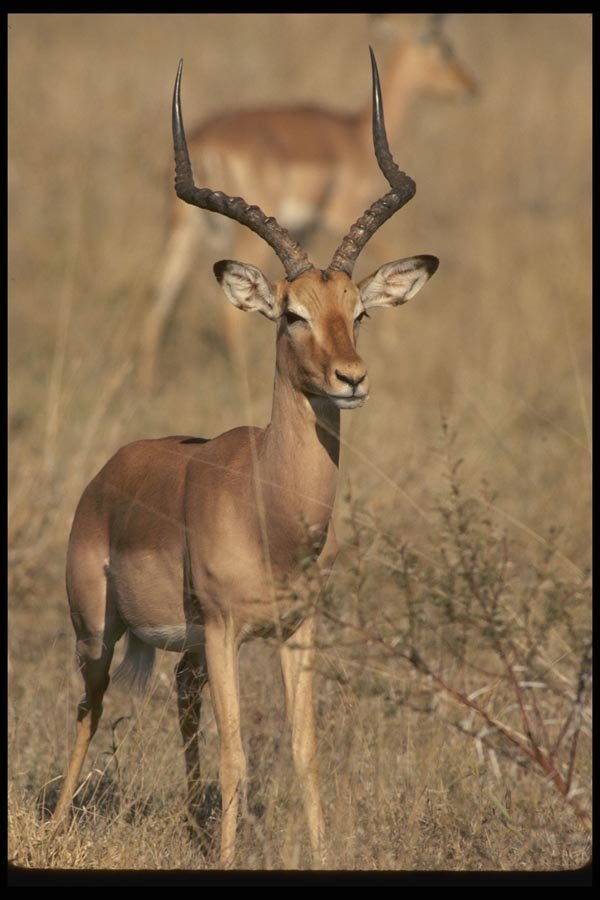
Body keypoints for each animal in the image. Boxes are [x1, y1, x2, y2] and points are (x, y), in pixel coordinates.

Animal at [52, 49, 438, 868]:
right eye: (291, 315)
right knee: (88, 709)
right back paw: (60, 822)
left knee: (180, 699)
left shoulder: (296, 631)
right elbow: (239, 755)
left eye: (358, 312)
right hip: (97, 630)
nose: (351, 379)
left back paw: (194, 827)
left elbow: (304, 751)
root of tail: (109, 472)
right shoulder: (230, 630)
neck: (269, 506)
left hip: (189, 648)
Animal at [139, 13, 471, 388]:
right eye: (445, 48)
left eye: (360, 313)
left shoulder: (307, 232)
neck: (352, 133)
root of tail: (205, 144)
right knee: (227, 316)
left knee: (157, 300)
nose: (470, 87)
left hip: (180, 230)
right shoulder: (337, 214)